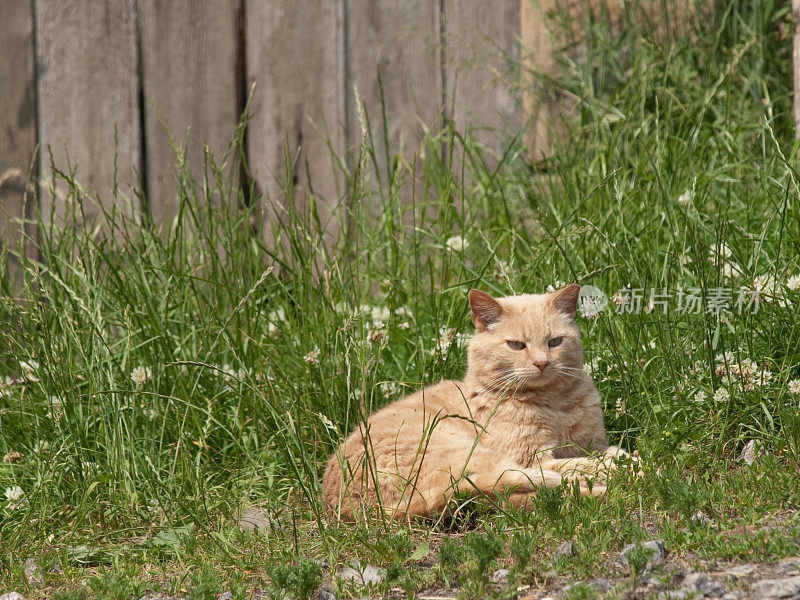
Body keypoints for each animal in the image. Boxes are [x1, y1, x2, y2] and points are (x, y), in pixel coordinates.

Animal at [322, 284, 620, 516]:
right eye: (516, 345)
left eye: (555, 342)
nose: (542, 363)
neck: (555, 404)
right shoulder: (531, 457)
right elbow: (578, 462)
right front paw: (616, 466)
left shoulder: (593, 442)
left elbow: (601, 453)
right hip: (470, 455)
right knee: (513, 482)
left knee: (510, 498)